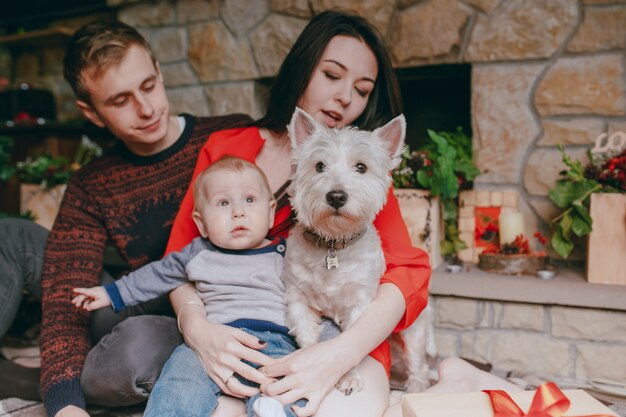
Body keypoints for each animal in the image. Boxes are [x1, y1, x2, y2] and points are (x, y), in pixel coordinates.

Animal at [282, 107, 404, 394]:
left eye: (361, 167)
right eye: (319, 166)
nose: (336, 196)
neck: (333, 245)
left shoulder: (359, 304)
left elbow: (350, 344)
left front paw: (348, 377)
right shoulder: (298, 297)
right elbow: (306, 334)